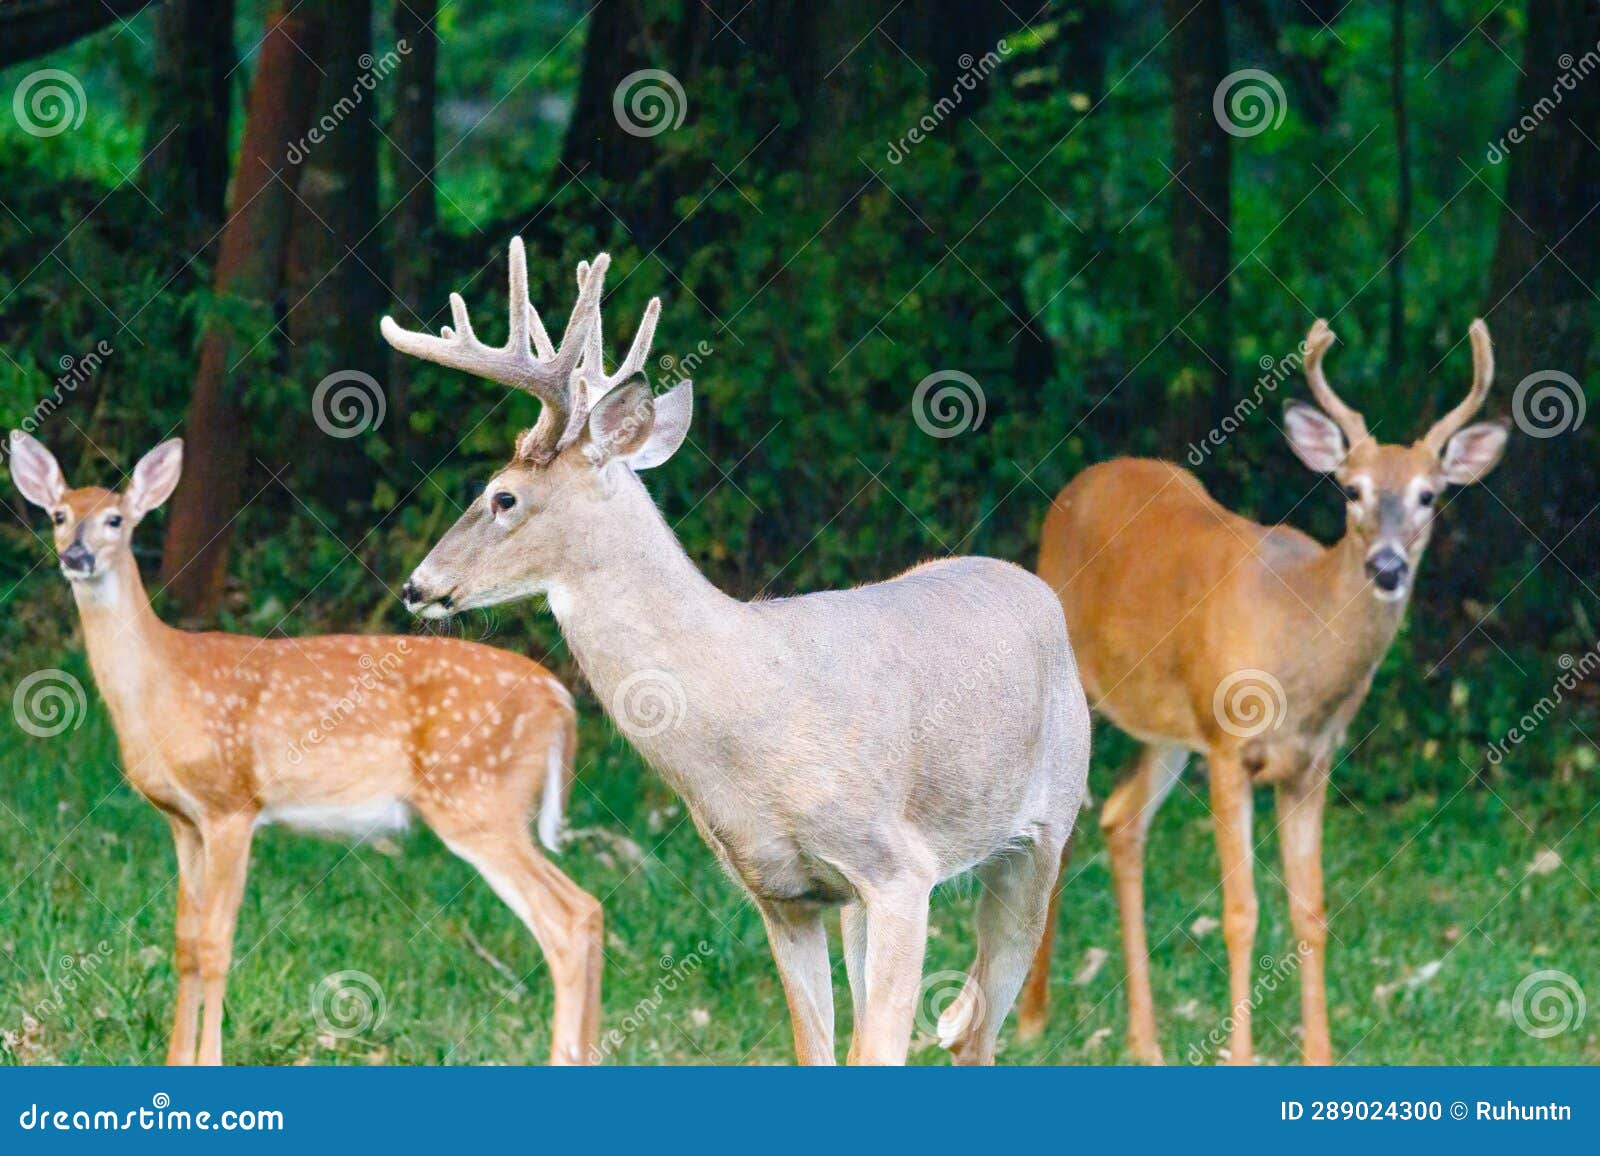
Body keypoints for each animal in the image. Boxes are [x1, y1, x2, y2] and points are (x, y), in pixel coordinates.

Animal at [7, 432, 601, 1063]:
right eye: (59, 515)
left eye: (115, 520)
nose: (76, 556)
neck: (162, 683)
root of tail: (559, 696)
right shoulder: (183, 819)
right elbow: (185, 941)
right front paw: (175, 1060)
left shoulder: (232, 804)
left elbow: (217, 941)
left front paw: (210, 1059)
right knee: (588, 911)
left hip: (478, 799)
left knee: (567, 920)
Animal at [380, 240, 1094, 1063]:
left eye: (503, 497)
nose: (416, 586)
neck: (750, 712)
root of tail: (1029, 583)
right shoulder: (782, 892)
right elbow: (818, 1049)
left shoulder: (900, 872)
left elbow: (880, 1048)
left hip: (1043, 834)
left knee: (979, 1031)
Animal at [1011, 317, 1510, 1063]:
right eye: (1352, 490)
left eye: (1429, 494)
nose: (1387, 566)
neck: (1299, 642)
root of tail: (1077, 487)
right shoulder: (1227, 747)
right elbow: (1241, 911)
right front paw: (1239, 1053)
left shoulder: (1310, 764)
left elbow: (1312, 911)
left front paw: (1320, 1054)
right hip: (1076, 695)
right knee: (1060, 830)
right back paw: (1030, 1018)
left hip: (1166, 723)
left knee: (1122, 819)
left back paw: (1143, 1039)